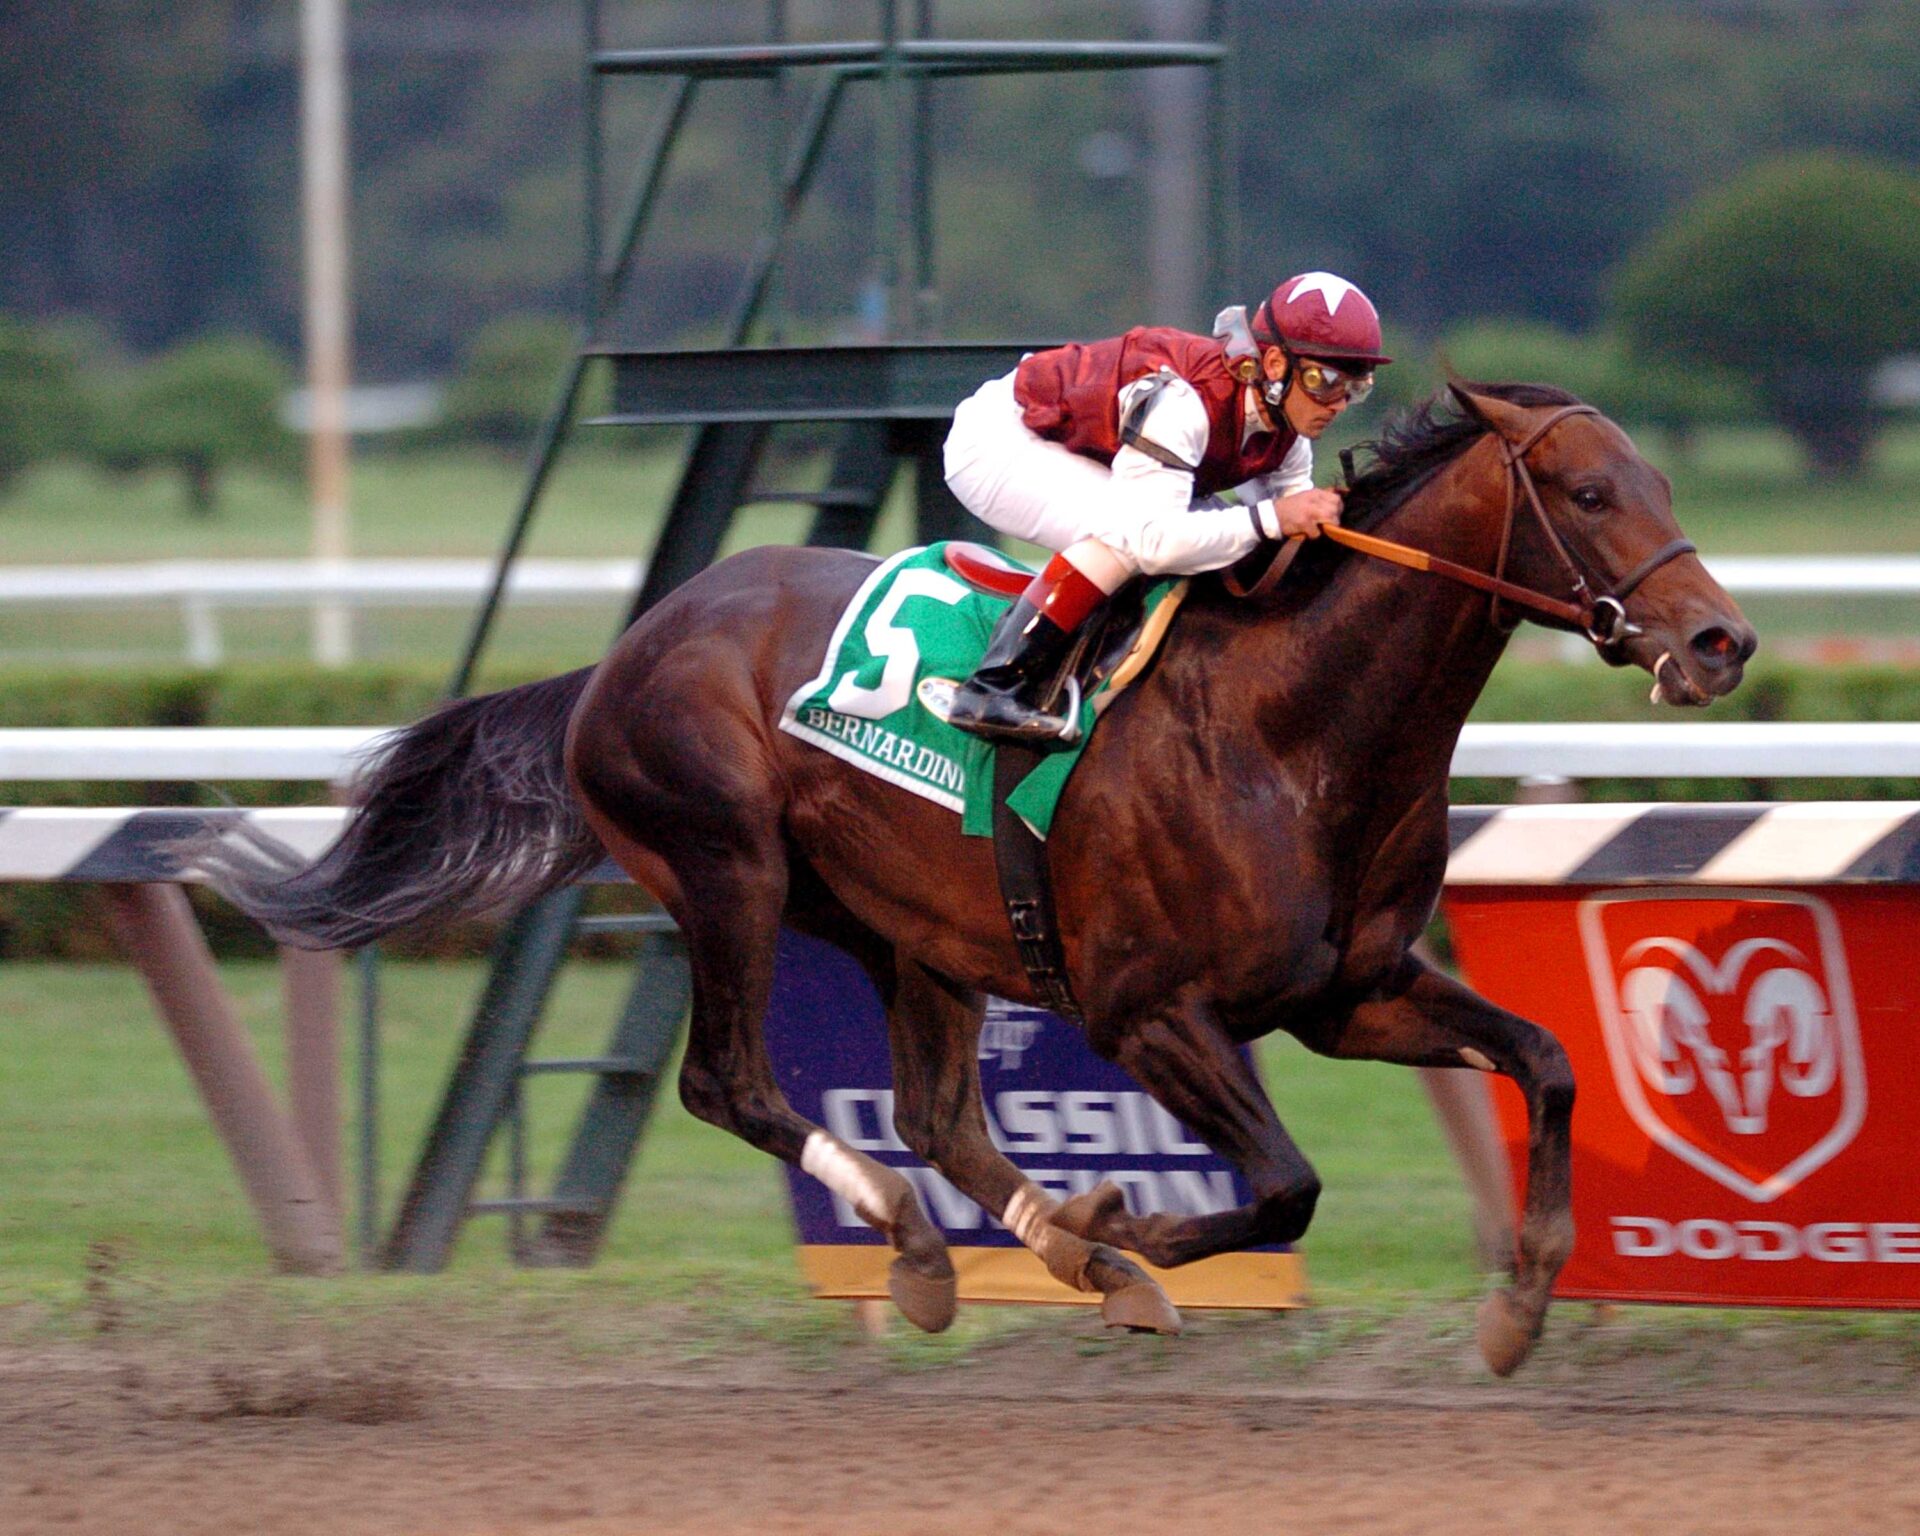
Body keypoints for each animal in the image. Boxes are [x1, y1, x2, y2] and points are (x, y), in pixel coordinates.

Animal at [200, 382, 1755, 1375]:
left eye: (1668, 485)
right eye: (1591, 491)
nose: (1722, 642)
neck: (1292, 727)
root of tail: (624, 653)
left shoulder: (1351, 992)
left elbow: (1547, 1061)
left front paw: (1524, 1299)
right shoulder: (1147, 1011)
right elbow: (1287, 1187)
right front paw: (1129, 1234)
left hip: (911, 935)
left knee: (939, 1118)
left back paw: (1050, 1246)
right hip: (726, 871)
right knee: (732, 1083)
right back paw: (941, 1248)